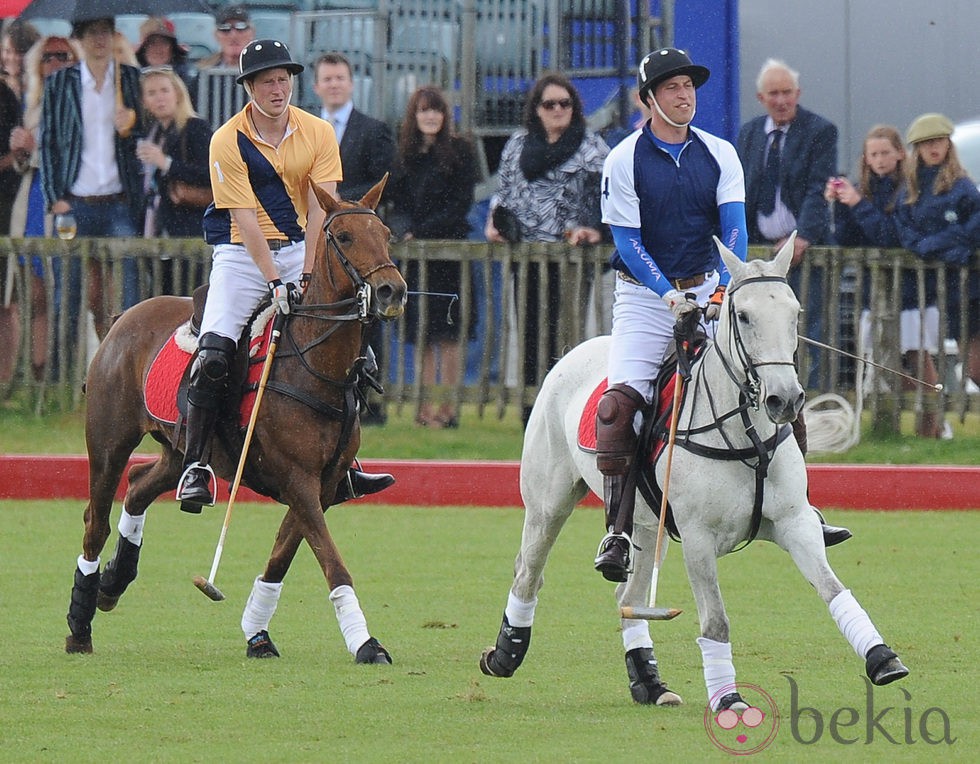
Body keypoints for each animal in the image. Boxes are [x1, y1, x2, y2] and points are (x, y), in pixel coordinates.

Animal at [65, 181, 408, 664]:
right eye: (344, 238)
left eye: (386, 234)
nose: (392, 291)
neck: (315, 366)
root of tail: (122, 319)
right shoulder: (297, 477)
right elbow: (333, 563)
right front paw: (366, 644)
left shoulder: (323, 482)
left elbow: (283, 555)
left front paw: (256, 632)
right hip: (109, 439)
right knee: (96, 519)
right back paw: (80, 625)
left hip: (183, 448)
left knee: (139, 484)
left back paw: (114, 582)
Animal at [478, 237, 908, 712]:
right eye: (744, 316)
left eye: (795, 313)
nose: (785, 399)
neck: (745, 436)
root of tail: (573, 352)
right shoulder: (700, 539)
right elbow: (716, 621)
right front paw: (729, 699)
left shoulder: (795, 524)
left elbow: (834, 589)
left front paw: (883, 658)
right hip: (548, 501)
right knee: (528, 570)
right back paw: (505, 654)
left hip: (649, 524)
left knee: (628, 597)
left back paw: (650, 683)